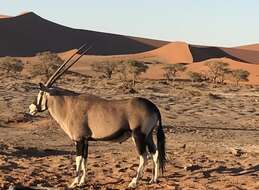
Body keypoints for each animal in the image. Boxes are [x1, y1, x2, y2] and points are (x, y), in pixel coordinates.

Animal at [28, 45, 167, 189]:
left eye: (40, 93)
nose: (31, 109)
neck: (69, 105)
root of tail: (153, 107)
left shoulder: (79, 140)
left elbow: (78, 159)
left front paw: (74, 182)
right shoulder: (86, 140)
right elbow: (85, 160)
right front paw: (82, 181)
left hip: (138, 135)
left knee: (144, 156)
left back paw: (133, 182)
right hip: (148, 135)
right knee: (155, 153)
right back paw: (153, 180)